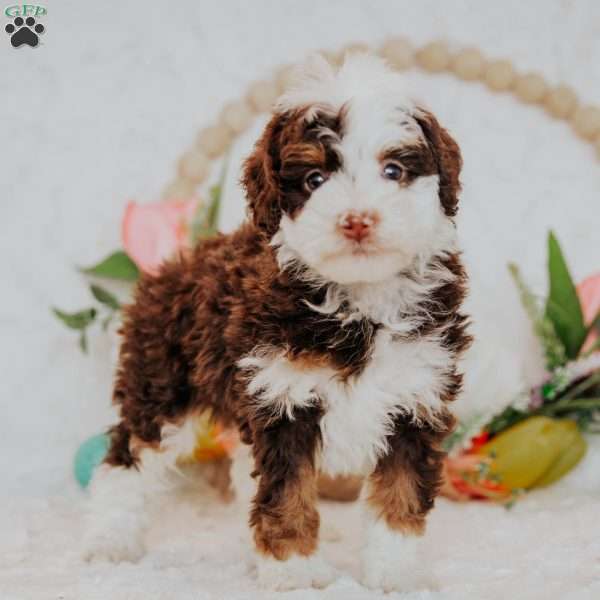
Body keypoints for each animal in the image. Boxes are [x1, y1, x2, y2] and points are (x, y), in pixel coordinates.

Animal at [84, 54, 472, 592]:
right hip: (163, 383)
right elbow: (287, 490)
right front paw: (295, 570)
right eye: (314, 180)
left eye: (393, 170)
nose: (357, 221)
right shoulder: (285, 400)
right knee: (129, 457)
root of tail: (172, 265)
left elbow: (399, 493)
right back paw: (109, 540)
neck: (357, 301)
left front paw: (395, 574)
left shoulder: (415, 397)